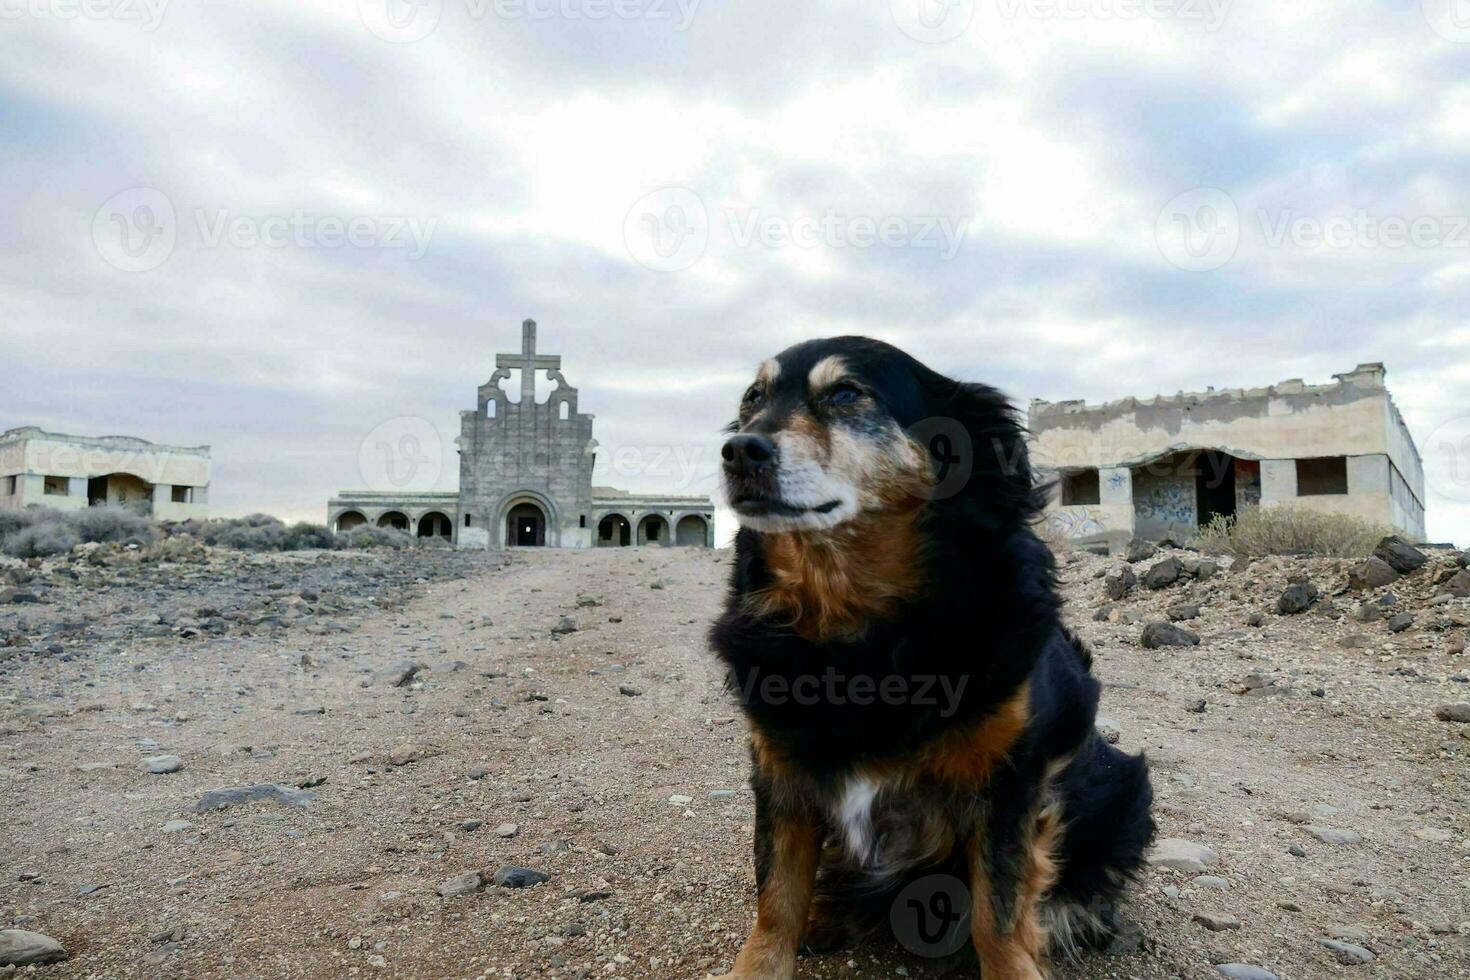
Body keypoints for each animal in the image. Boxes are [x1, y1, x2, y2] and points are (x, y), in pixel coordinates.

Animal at [705, 339, 1152, 980]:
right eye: (752, 398)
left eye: (847, 394)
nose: (739, 449)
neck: (858, 629)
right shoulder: (781, 764)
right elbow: (777, 895)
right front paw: (761, 961)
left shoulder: (1009, 777)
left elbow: (999, 910)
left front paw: (1016, 963)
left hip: (1124, 791)